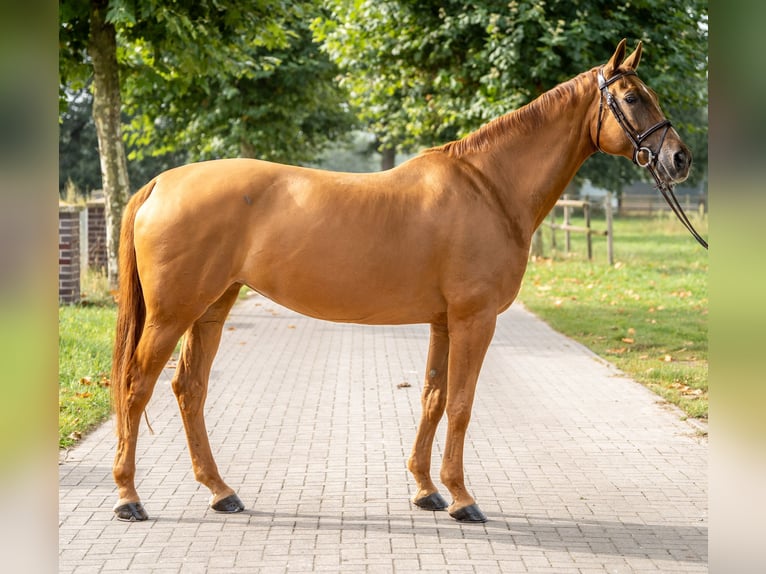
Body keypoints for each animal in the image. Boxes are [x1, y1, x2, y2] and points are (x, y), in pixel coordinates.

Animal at [111, 40, 692, 524]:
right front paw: (463, 499)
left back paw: (221, 492)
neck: (490, 187)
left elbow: (433, 397)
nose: (679, 158)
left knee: (189, 389)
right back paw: (129, 498)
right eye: (633, 97)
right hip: (171, 314)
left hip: (211, 307)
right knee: (136, 387)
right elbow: (461, 404)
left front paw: (426, 490)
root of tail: (161, 183)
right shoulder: (474, 319)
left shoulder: (444, 321)